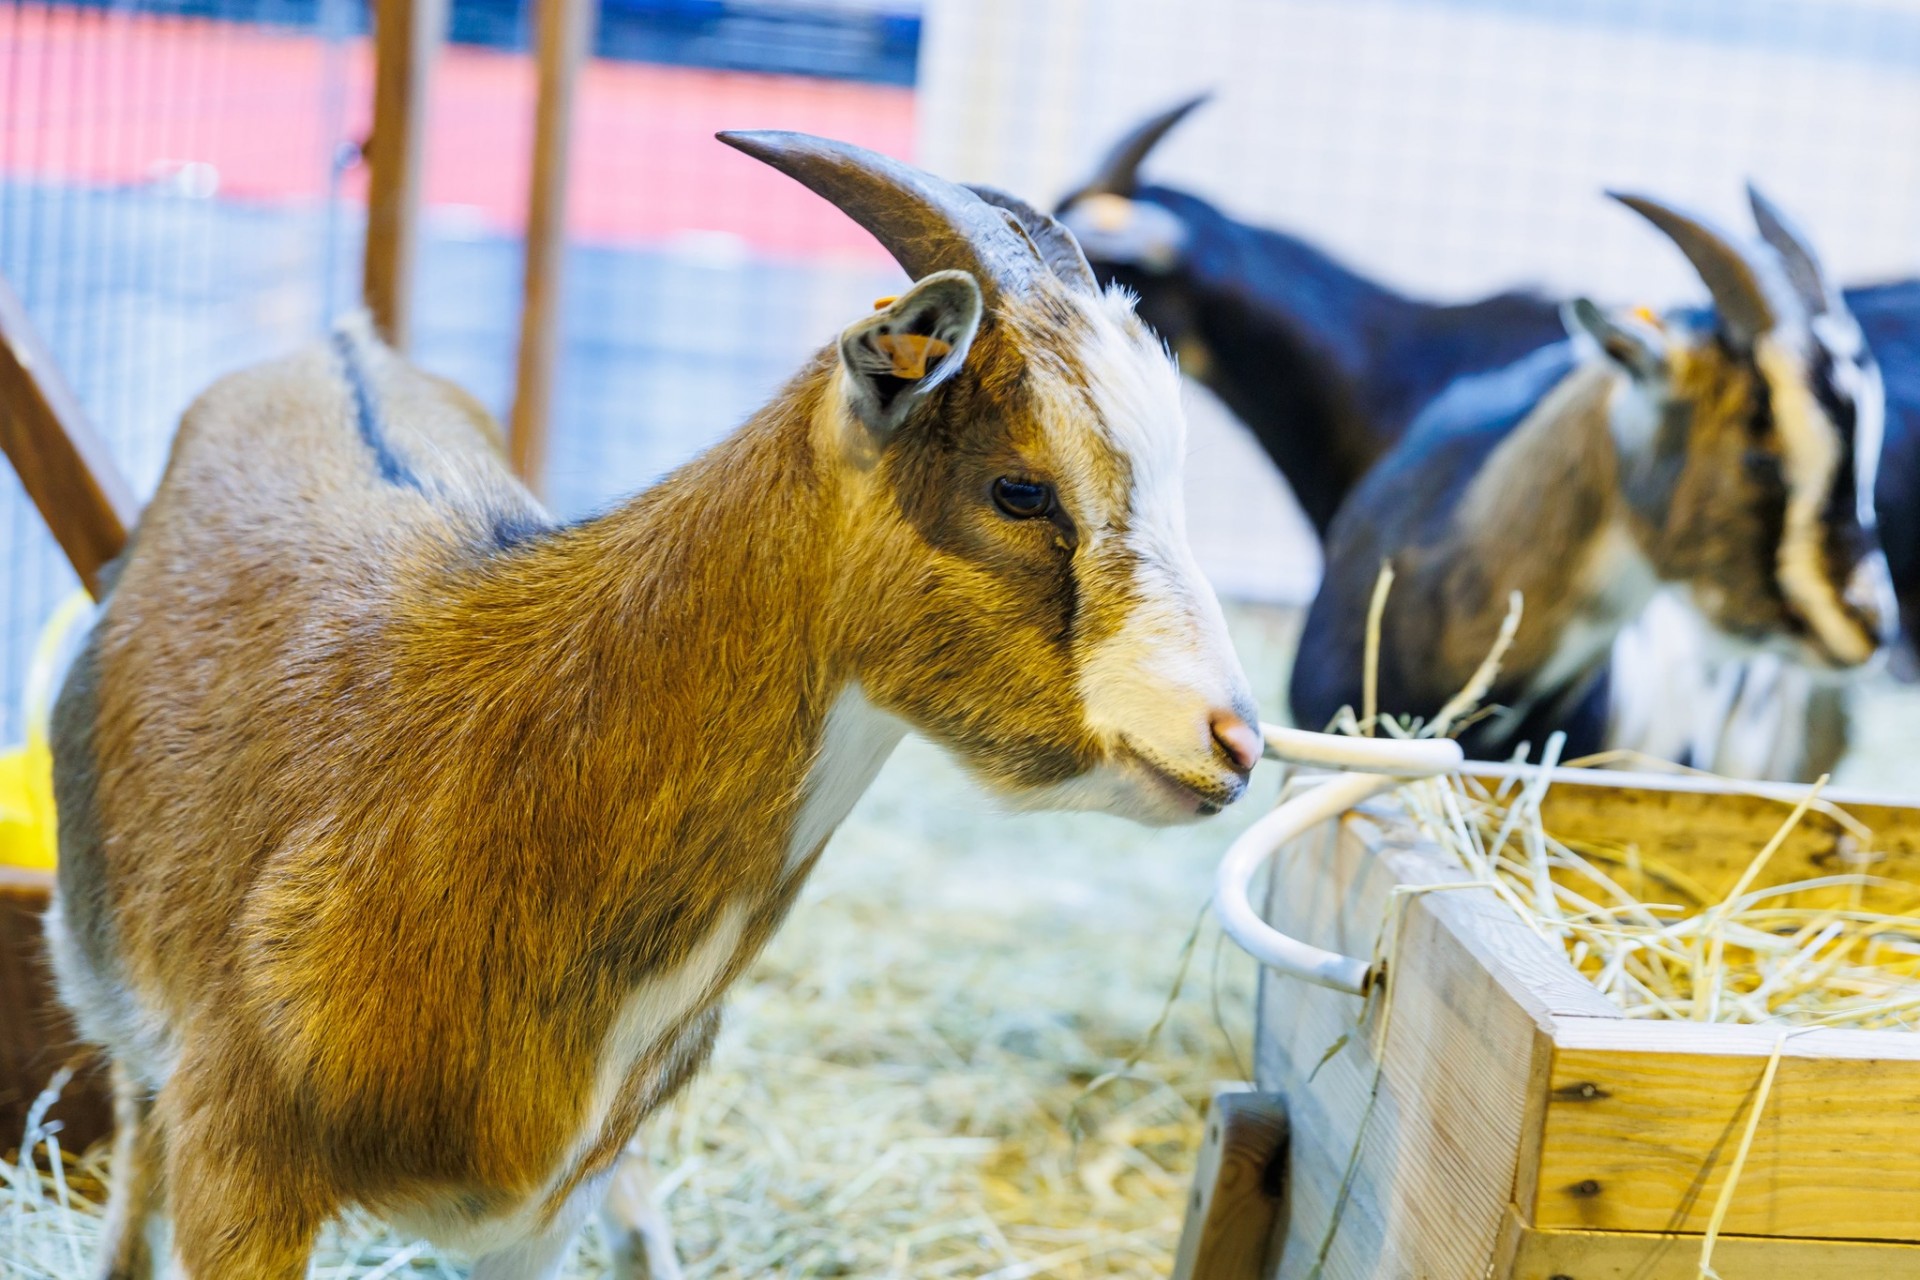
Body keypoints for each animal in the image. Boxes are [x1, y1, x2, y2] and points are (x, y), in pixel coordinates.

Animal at [48, 135, 1259, 1274]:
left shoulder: (543, 1217)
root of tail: (335, 341)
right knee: (137, 1132)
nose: (1236, 743)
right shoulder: (238, 1167)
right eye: (1019, 488)